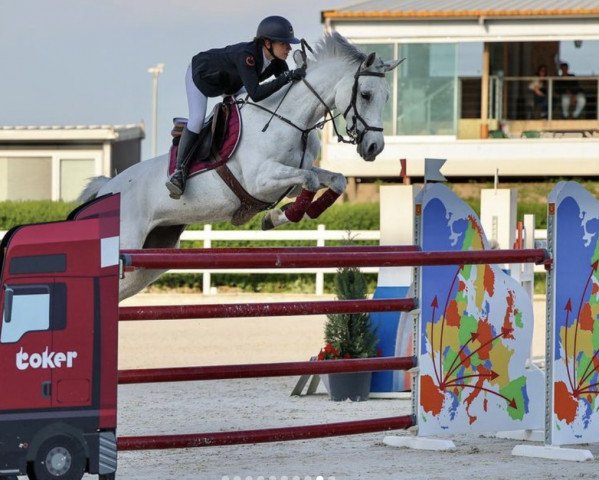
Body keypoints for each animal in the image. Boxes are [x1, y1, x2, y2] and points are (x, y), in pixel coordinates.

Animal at [78, 31, 398, 298]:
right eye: (366, 94)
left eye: (387, 97)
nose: (374, 147)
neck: (293, 120)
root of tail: (106, 189)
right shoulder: (261, 181)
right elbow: (307, 180)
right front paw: (281, 216)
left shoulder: (293, 178)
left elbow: (333, 180)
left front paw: (285, 216)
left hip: (146, 262)